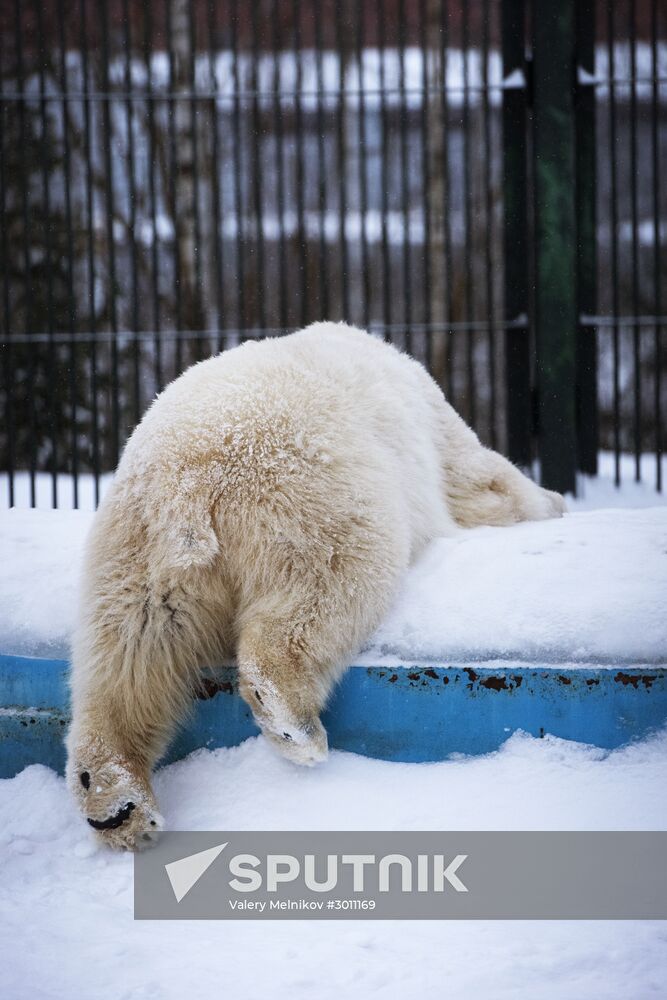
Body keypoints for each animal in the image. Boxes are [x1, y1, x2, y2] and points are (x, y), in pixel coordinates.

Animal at [65, 320, 568, 844]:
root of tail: (189, 482)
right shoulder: (434, 425)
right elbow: (481, 479)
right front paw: (551, 501)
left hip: (135, 551)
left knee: (128, 652)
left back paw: (116, 802)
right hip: (305, 499)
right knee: (328, 587)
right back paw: (296, 727)